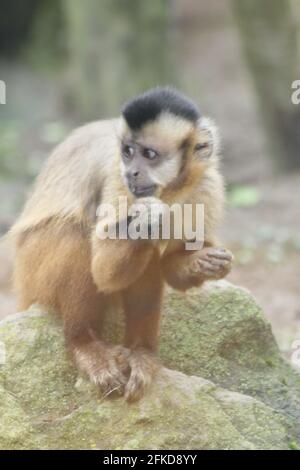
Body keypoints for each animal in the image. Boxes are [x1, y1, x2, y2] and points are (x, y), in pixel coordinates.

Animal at [11, 87, 232, 400]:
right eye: (128, 152)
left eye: (149, 154)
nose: (133, 172)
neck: (170, 190)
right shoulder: (116, 175)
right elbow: (104, 270)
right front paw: (149, 219)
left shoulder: (207, 184)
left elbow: (173, 267)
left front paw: (201, 262)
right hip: (32, 270)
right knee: (78, 235)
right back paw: (84, 343)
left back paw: (140, 352)